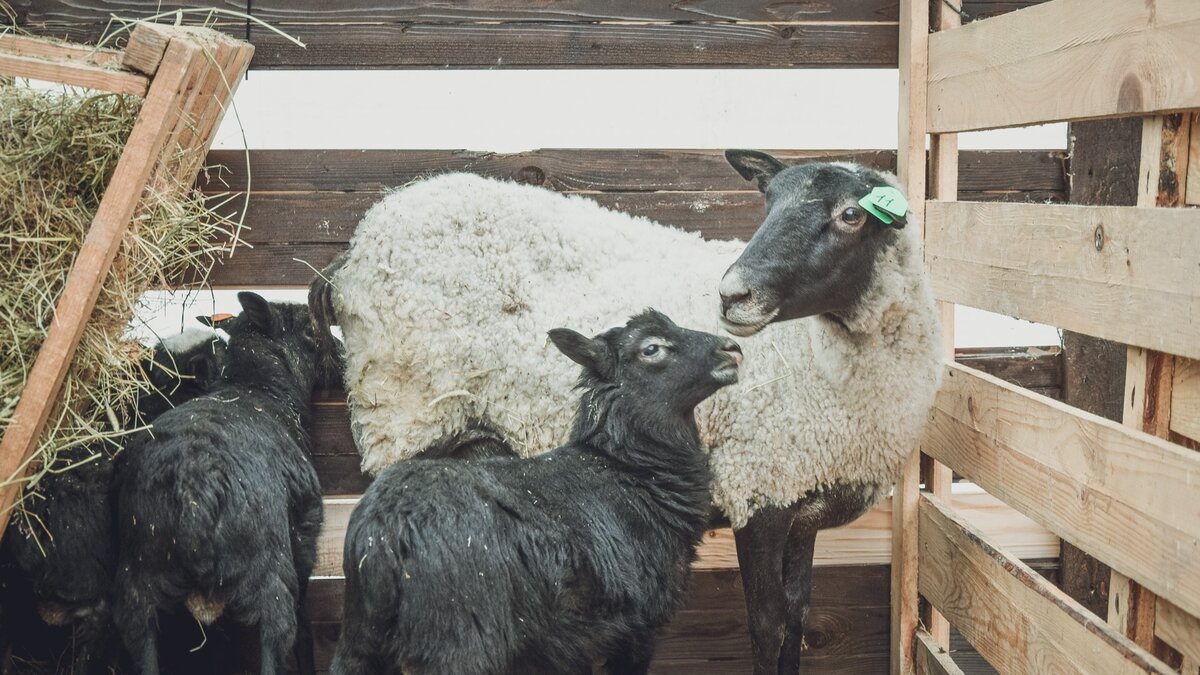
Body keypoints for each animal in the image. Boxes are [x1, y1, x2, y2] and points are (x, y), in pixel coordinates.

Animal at [115, 293, 331, 672]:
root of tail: (194, 494)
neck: (256, 387)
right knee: (279, 642)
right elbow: (305, 626)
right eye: (308, 327)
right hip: (271, 579)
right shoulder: (304, 544)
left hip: (137, 588)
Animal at [331, 309, 739, 672]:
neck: (632, 472)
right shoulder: (638, 623)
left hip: (360, 642)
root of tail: (383, 532)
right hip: (461, 641)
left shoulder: (566, 641)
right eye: (651, 348)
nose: (732, 349)